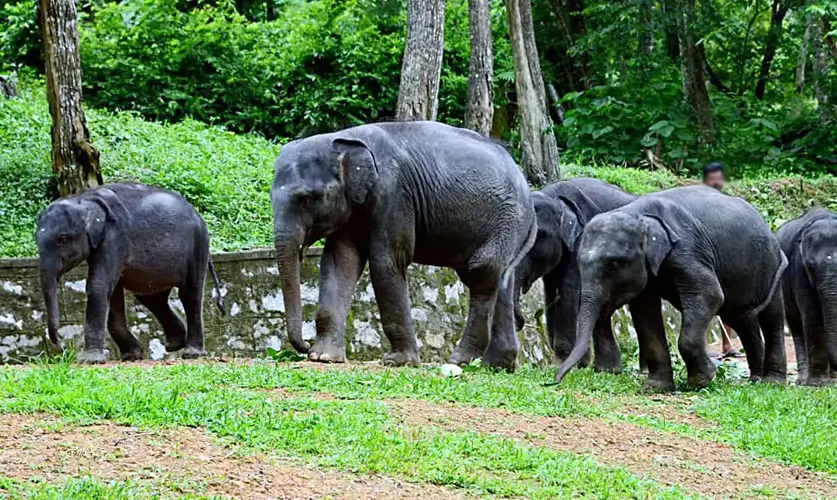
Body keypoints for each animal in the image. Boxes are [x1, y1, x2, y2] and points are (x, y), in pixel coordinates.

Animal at [35, 183, 225, 364]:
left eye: (62, 239)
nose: (58, 342)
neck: (82, 198)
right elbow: (113, 292)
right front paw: (132, 356)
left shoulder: (116, 235)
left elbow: (99, 285)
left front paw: (90, 360)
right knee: (152, 299)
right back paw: (175, 344)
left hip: (198, 246)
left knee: (190, 294)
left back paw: (192, 353)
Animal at [270, 121, 536, 369]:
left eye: (307, 199)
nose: (305, 345)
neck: (345, 138)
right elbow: (340, 262)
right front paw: (324, 357)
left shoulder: (394, 193)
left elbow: (387, 262)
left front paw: (398, 361)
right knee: (499, 281)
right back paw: (497, 365)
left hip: (507, 220)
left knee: (482, 271)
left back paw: (461, 360)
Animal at [513, 178, 636, 371]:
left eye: (539, 234)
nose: (520, 323)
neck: (555, 198)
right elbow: (551, 292)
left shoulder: (582, 242)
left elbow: (569, 290)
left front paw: (567, 362)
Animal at [554, 185, 787, 390]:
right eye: (580, 263)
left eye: (614, 263)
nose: (554, 381)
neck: (637, 213)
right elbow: (645, 313)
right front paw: (656, 387)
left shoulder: (687, 250)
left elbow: (709, 294)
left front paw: (702, 380)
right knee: (742, 319)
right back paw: (755, 379)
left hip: (770, 265)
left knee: (771, 318)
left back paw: (772, 382)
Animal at [777, 207, 837, 386]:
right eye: (810, 265)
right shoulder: (799, 269)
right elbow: (813, 316)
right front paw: (818, 383)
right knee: (796, 327)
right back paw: (803, 380)